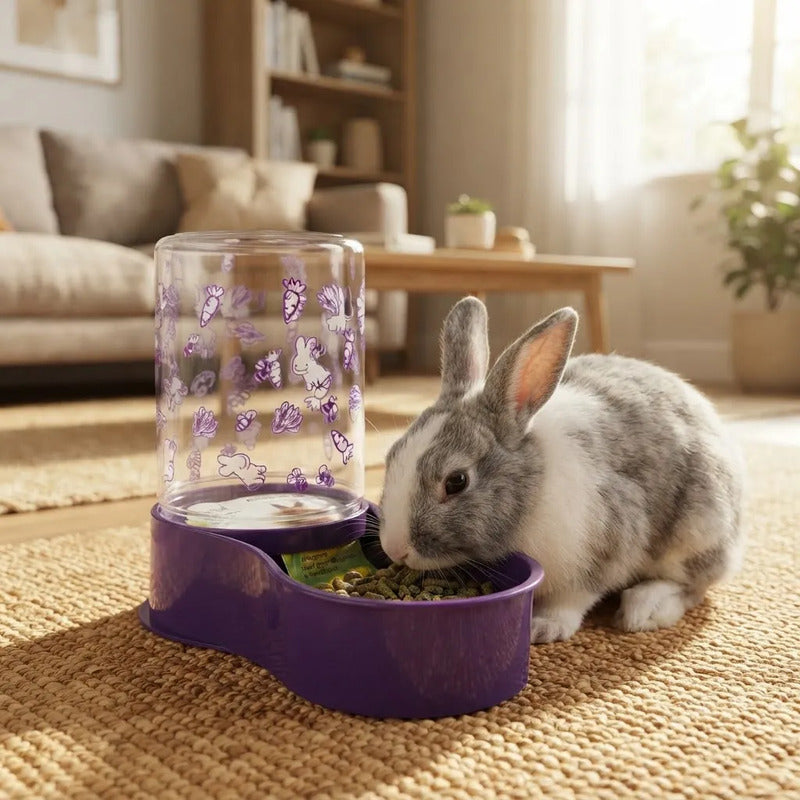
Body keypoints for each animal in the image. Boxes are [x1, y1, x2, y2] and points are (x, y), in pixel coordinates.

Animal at [379, 297, 745, 643]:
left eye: (456, 481)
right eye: (391, 456)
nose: (395, 549)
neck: (532, 492)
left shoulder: (605, 546)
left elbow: (574, 598)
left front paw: (543, 628)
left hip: (697, 530)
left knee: (692, 585)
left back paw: (645, 609)